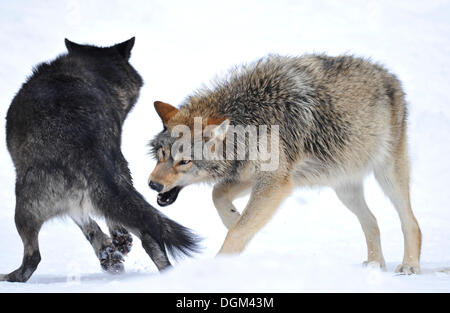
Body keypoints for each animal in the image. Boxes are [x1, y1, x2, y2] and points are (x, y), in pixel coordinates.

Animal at [0, 37, 200, 282]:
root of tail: (87, 152)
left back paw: (10, 277)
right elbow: (94, 226)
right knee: (148, 234)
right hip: (121, 180)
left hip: (24, 208)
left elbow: (87, 225)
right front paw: (111, 251)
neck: (93, 71)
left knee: (32, 258)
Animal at [149, 53, 422, 272]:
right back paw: (376, 264)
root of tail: (389, 75)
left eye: (184, 161)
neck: (249, 118)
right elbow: (218, 196)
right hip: (344, 189)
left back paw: (409, 266)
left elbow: (237, 231)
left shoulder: (276, 183)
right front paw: (233, 218)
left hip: (387, 175)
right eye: (161, 154)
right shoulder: (253, 175)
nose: (152, 184)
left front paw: (219, 267)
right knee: (372, 221)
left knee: (411, 222)